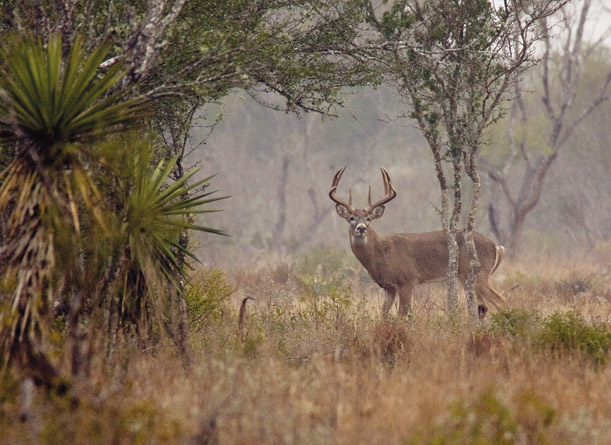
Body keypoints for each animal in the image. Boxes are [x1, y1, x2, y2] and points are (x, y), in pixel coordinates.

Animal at [330, 166, 506, 316]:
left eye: (368, 219)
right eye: (351, 218)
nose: (361, 228)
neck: (381, 253)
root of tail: (497, 247)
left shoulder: (407, 280)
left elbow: (402, 315)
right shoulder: (389, 287)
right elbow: (383, 315)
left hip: (478, 273)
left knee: (501, 300)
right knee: (484, 307)